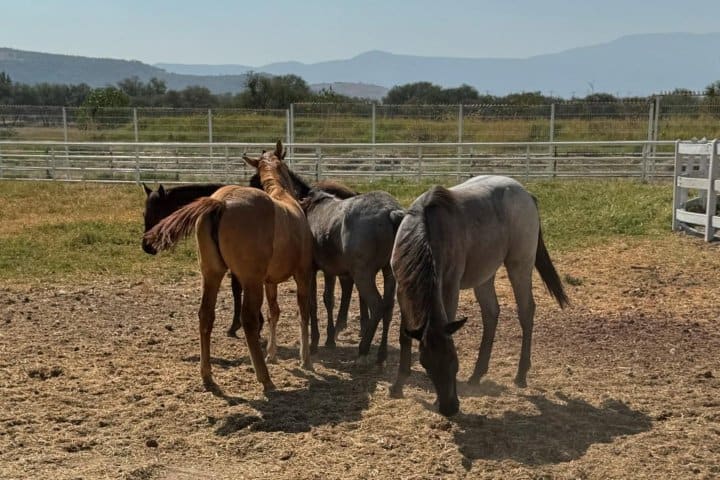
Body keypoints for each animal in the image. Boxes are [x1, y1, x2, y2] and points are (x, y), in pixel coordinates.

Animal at [143, 140, 314, 391]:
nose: (146, 246)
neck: (282, 196)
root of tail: (221, 203)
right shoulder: (301, 274)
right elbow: (302, 313)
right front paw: (305, 359)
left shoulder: (269, 281)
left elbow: (274, 312)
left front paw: (273, 353)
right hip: (251, 282)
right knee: (248, 319)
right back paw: (265, 378)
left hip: (212, 274)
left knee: (206, 315)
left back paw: (207, 375)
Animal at [301, 188, 404, 364]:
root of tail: (391, 212)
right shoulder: (330, 270)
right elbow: (329, 300)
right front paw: (330, 339)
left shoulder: (311, 270)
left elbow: (312, 303)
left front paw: (314, 343)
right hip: (389, 273)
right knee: (388, 308)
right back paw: (381, 354)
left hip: (363, 275)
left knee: (377, 305)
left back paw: (363, 350)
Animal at [388, 175, 568, 416]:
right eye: (426, 365)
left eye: (454, 361)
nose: (449, 407)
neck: (425, 231)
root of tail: (526, 194)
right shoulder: (402, 290)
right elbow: (404, 335)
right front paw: (398, 385)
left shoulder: (450, 287)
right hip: (485, 275)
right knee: (491, 313)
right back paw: (477, 374)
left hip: (519, 265)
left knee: (526, 311)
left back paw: (520, 374)